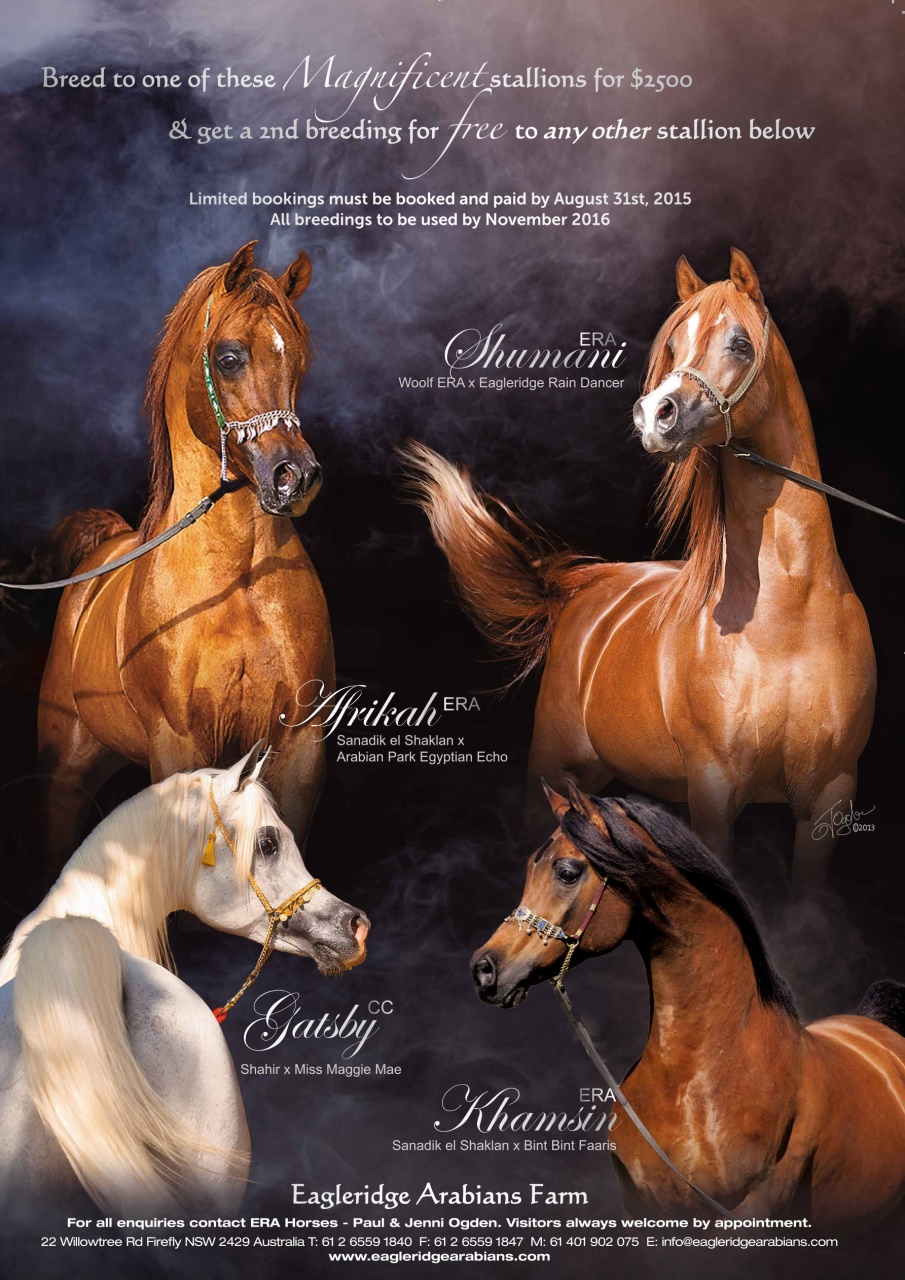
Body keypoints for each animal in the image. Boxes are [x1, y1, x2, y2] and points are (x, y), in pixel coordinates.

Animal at [38, 241, 333, 869]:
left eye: (298, 361)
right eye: (229, 357)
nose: (296, 477)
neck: (238, 579)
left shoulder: (299, 745)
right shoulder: (179, 744)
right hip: (65, 775)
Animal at [402, 249, 876, 889]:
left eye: (740, 343)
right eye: (672, 345)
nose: (657, 415)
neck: (790, 619)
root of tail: (583, 584)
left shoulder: (830, 798)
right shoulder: (713, 793)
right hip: (552, 766)